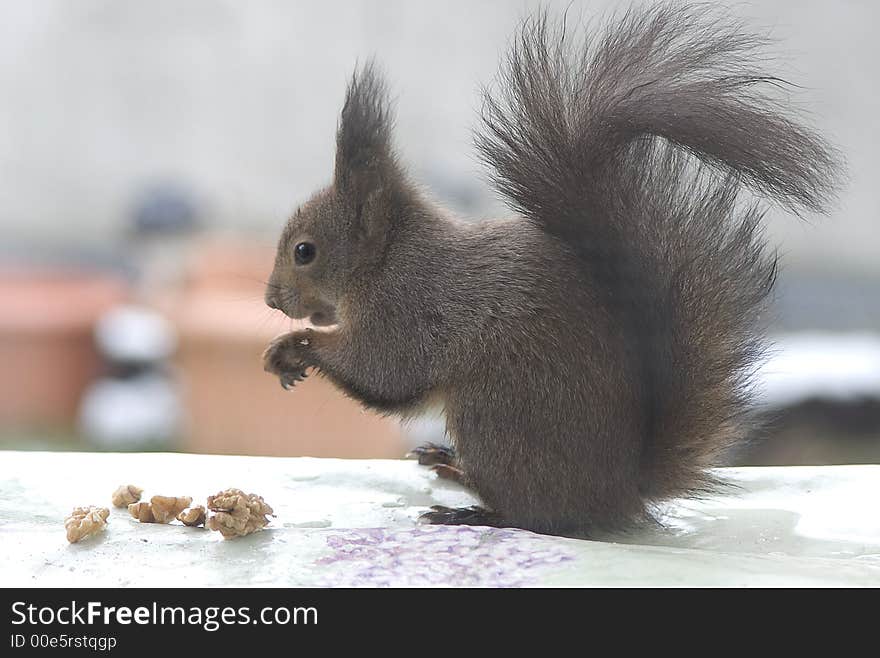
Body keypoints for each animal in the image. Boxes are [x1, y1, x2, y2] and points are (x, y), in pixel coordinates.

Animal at [262, 3, 840, 532]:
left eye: (304, 251)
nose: (270, 299)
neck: (387, 258)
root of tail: (620, 493)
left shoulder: (410, 307)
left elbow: (381, 370)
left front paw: (293, 347)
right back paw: (451, 466)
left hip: (496, 417)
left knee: (532, 515)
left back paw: (473, 510)